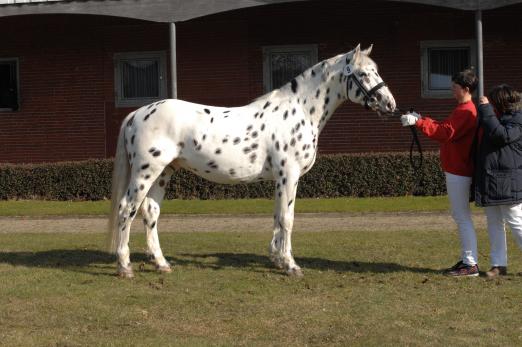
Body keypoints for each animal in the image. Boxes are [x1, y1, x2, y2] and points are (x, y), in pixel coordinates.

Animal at [108, 44, 394, 278]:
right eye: (364, 74)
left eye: (375, 71)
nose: (389, 104)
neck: (299, 111)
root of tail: (137, 114)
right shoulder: (289, 175)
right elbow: (287, 218)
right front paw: (291, 265)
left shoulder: (282, 179)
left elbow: (278, 216)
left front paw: (277, 259)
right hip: (146, 172)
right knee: (126, 209)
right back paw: (125, 266)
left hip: (164, 172)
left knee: (150, 212)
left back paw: (162, 263)